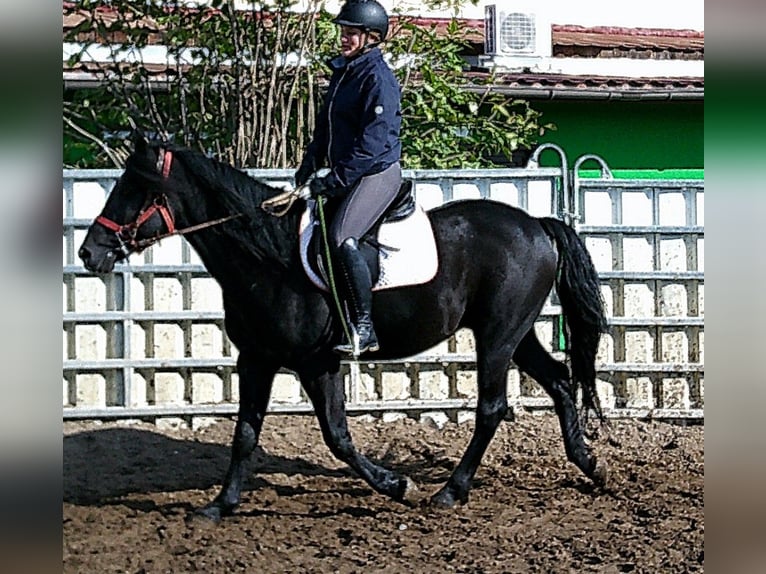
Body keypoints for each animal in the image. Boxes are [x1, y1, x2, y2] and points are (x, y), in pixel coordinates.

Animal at [78, 135, 608, 520]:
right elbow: (246, 432)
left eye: (135, 188)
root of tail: (537, 225)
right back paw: (591, 466)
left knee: (492, 408)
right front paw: (219, 506)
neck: (268, 256)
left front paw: (397, 485)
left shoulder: (316, 362)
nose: (89, 252)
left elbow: (336, 436)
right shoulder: (257, 358)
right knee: (560, 381)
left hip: (497, 337)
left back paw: (450, 491)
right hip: (516, 333)